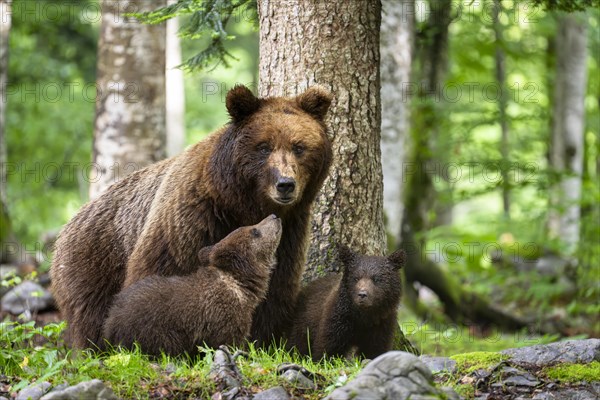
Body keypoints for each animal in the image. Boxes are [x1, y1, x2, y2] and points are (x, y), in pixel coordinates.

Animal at [51, 86, 332, 348]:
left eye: (299, 147)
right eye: (264, 147)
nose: (285, 184)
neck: (241, 204)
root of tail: (69, 224)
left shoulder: (290, 230)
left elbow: (275, 290)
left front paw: (262, 339)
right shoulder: (192, 218)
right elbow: (158, 275)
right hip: (93, 262)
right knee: (89, 316)